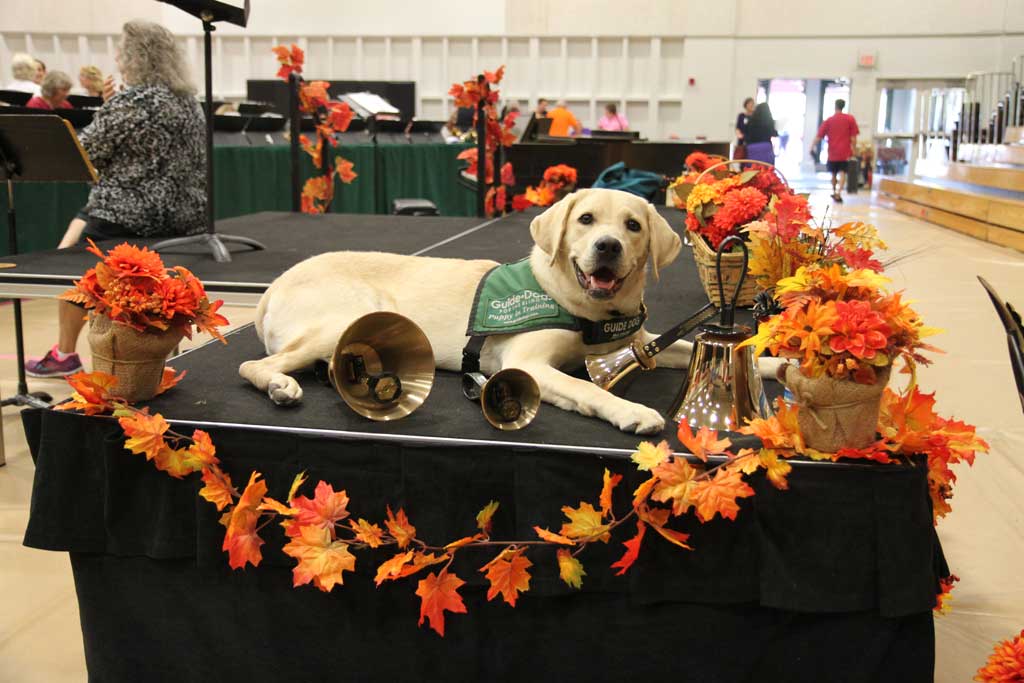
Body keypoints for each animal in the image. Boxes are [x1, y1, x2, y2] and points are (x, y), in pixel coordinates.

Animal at [238, 188, 733, 432]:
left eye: (632, 225)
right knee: (252, 365)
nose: (608, 246)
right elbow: (587, 388)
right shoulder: (528, 363)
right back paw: (281, 386)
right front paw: (629, 411)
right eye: (586, 220)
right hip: (346, 316)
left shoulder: (642, 344)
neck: (587, 312)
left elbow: (688, 347)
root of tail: (273, 284)